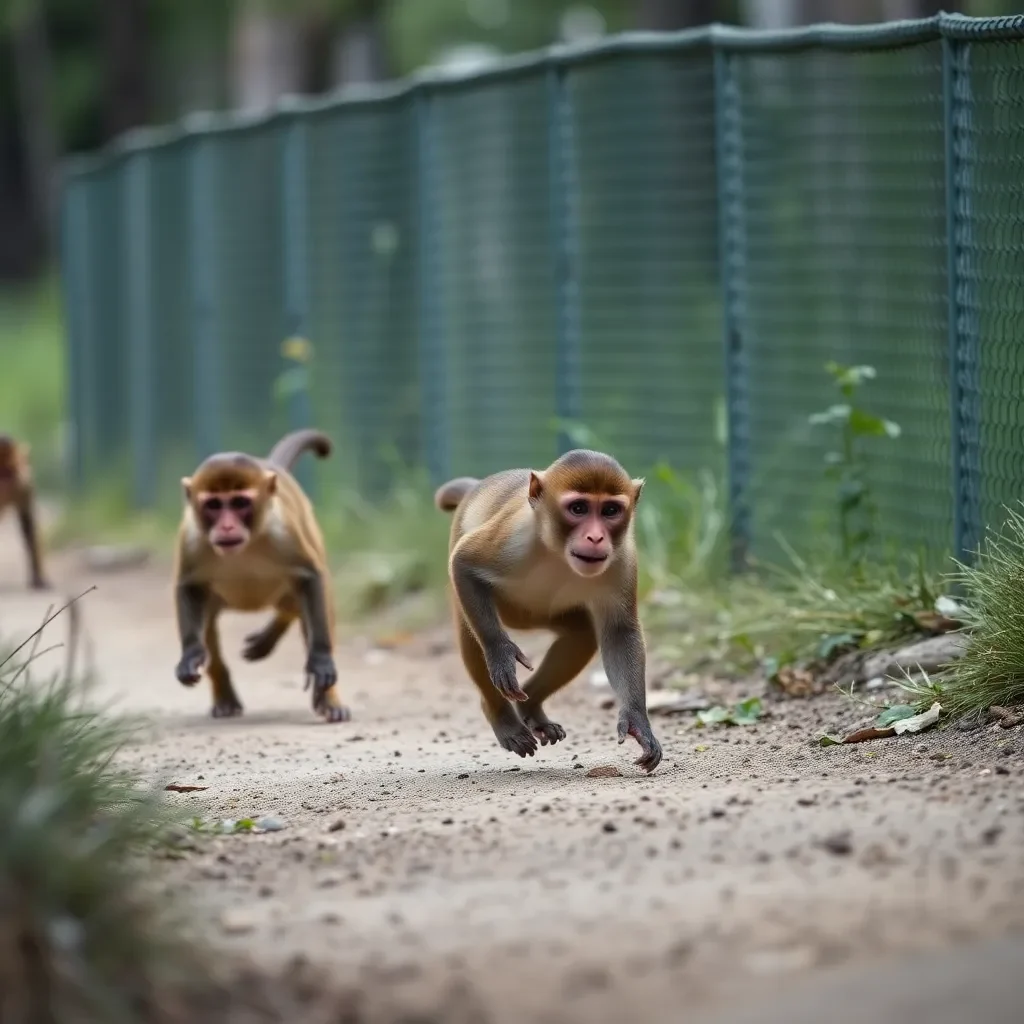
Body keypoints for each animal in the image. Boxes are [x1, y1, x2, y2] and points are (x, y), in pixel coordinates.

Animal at [174, 428, 350, 724]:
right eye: (213, 505)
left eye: (239, 502)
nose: (227, 526)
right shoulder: (192, 537)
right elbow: (190, 586)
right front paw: (190, 653)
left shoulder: (284, 533)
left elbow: (311, 578)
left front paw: (321, 659)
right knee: (209, 618)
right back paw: (224, 693)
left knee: (303, 601)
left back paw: (326, 695)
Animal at [434, 444, 659, 770]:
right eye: (578, 508)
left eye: (610, 511)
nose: (595, 537)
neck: (557, 547)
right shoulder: (511, 536)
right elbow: (464, 563)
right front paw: (501, 654)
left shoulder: (622, 560)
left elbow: (619, 632)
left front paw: (637, 722)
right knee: (471, 636)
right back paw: (503, 718)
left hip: (536, 614)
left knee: (581, 635)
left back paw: (534, 706)